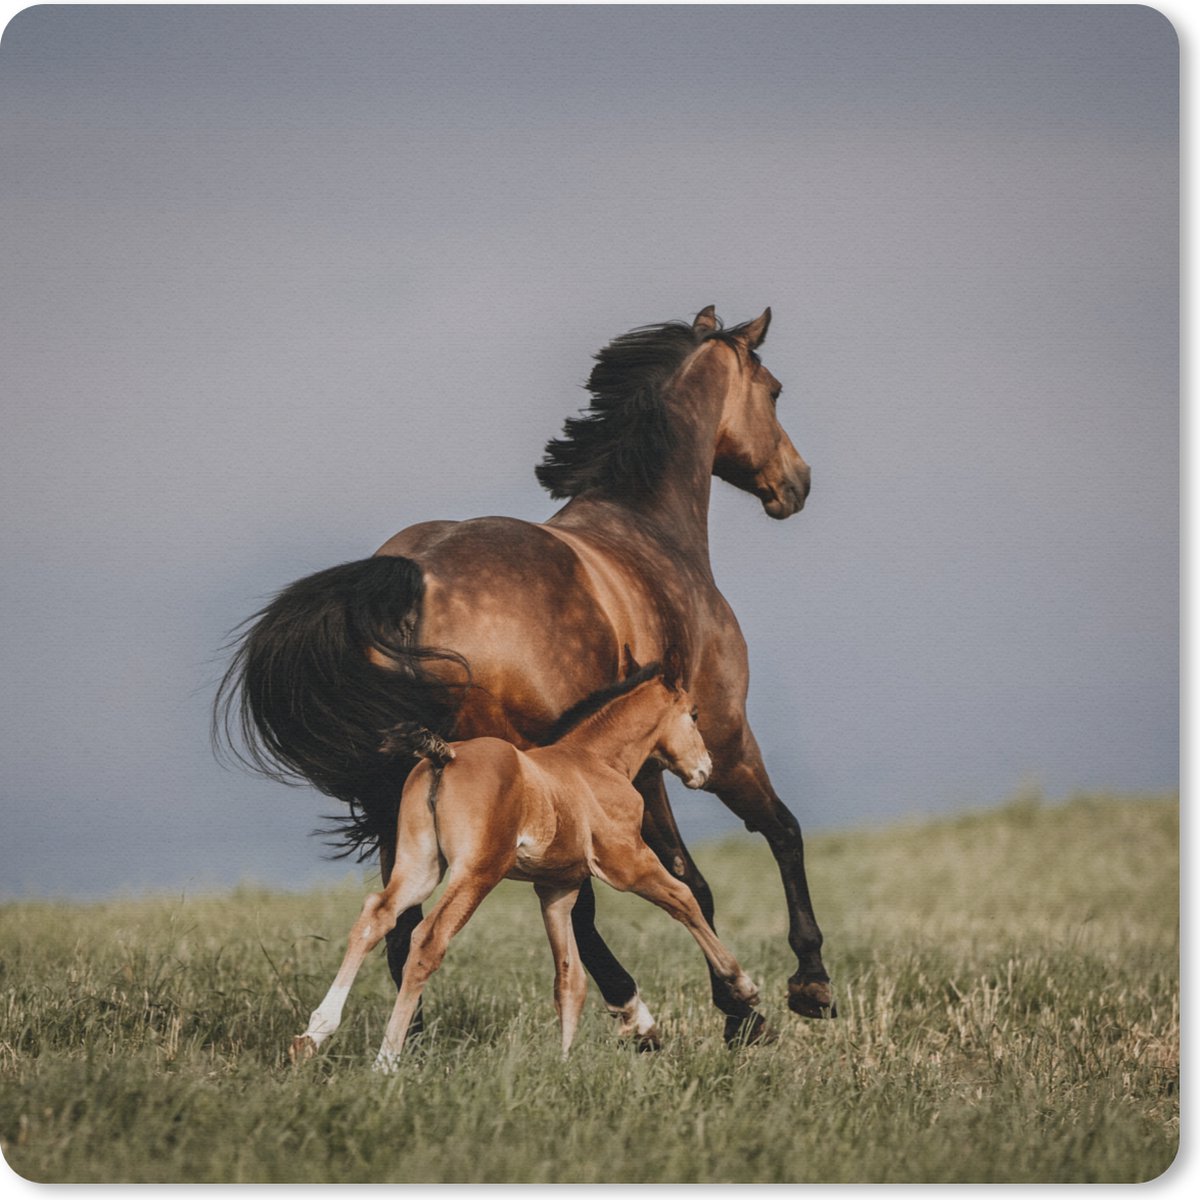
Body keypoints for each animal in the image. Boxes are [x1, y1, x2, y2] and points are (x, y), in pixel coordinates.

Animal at [288, 663, 760, 1069]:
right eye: (693, 714)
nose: (704, 769)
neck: (596, 762)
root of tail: (445, 756)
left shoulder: (556, 890)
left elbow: (569, 980)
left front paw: (564, 1065)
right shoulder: (627, 862)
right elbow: (684, 900)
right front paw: (744, 987)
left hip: (420, 868)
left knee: (376, 915)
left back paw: (313, 1035)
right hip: (477, 872)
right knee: (428, 940)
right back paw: (386, 1061)